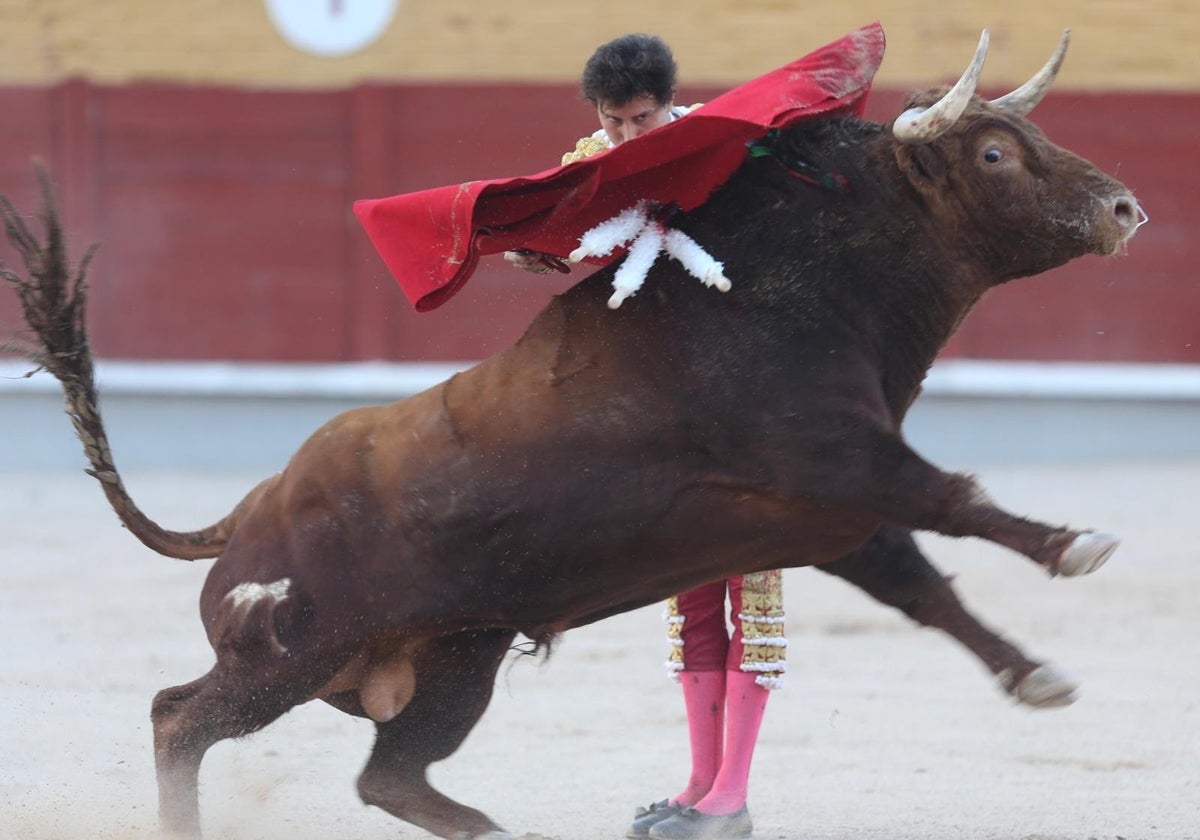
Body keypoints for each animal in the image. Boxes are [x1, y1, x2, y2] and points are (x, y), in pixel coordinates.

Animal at [0, 27, 1137, 840]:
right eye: (994, 151)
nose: (1125, 207)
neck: (790, 293)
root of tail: (241, 517)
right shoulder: (840, 461)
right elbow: (958, 498)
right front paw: (1077, 546)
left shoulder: (830, 516)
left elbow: (924, 586)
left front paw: (1034, 675)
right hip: (286, 655)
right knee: (179, 717)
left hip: (452, 663)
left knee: (389, 777)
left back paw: (503, 832)